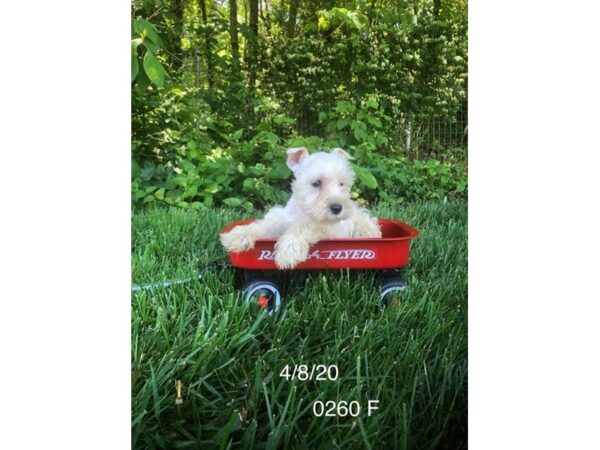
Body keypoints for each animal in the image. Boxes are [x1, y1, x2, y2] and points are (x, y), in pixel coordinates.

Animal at [219, 148, 380, 268]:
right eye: (316, 183)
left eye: (342, 184)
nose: (337, 208)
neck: (302, 211)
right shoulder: (279, 220)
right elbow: (262, 227)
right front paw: (238, 236)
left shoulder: (324, 229)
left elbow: (302, 227)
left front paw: (288, 250)